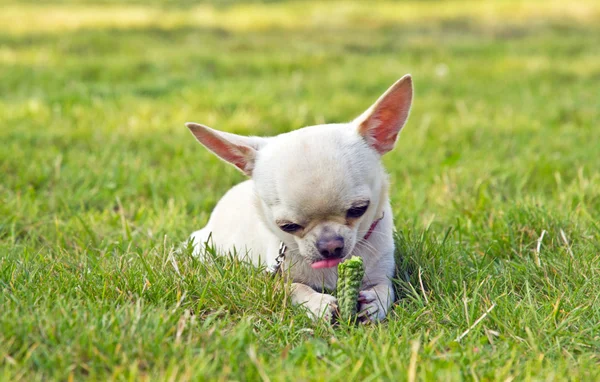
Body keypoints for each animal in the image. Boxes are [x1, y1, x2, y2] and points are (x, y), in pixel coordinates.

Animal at [188, 75, 412, 322]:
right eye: (287, 226)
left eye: (359, 210)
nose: (330, 245)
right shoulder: (276, 280)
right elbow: (295, 288)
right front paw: (317, 304)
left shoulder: (382, 269)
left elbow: (385, 287)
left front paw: (375, 302)